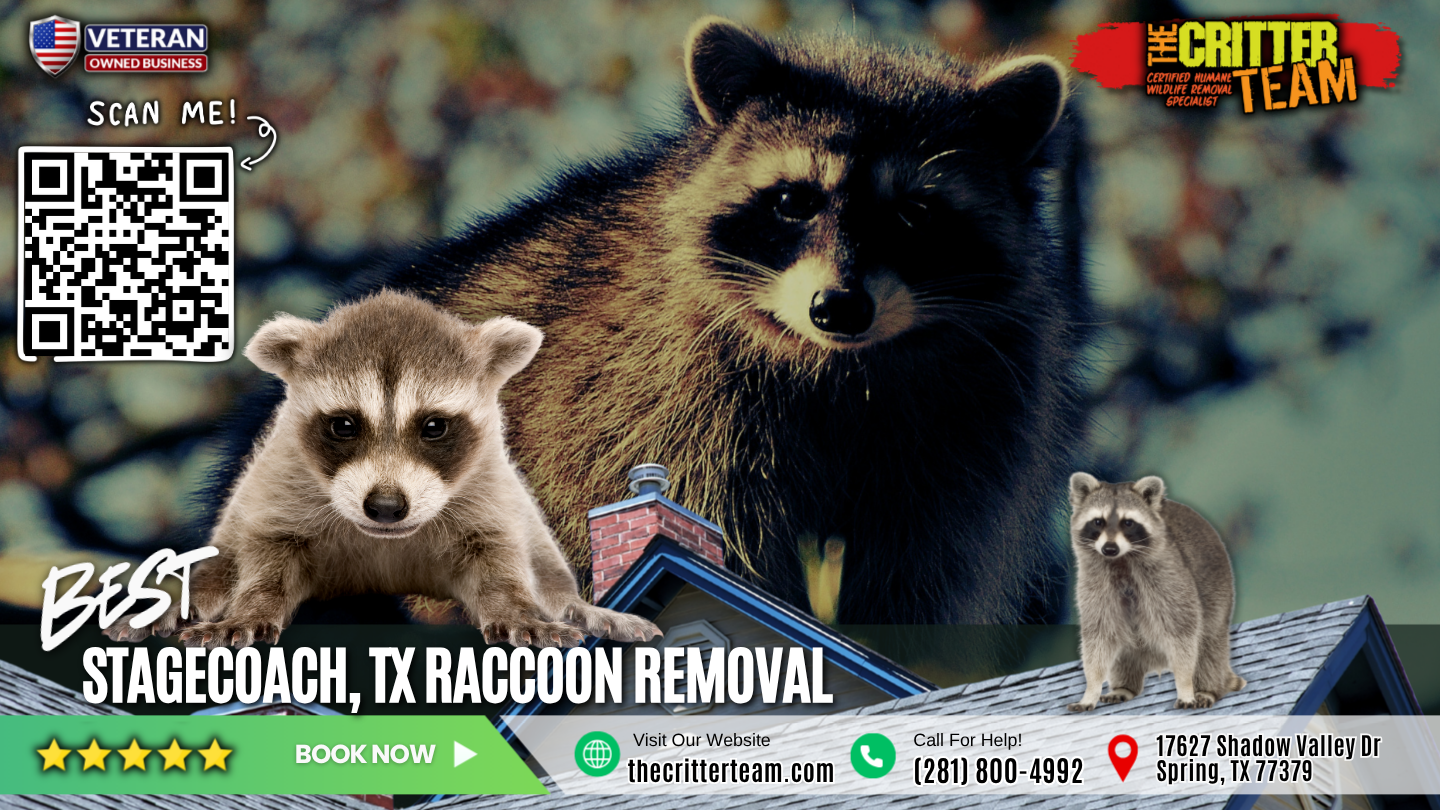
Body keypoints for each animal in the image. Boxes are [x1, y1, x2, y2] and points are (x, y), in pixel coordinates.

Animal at [107, 291, 661, 649]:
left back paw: (577, 605)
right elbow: (268, 560)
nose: (387, 506)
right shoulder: (283, 482)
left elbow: (497, 560)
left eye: (434, 425)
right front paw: (252, 608)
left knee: (545, 564)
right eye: (344, 425)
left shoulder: (487, 490)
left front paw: (517, 609)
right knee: (219, 563)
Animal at [215, 18, 1093, 624]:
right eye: (791, 201)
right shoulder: (662, 402)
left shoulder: (963, 445)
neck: (844, 366)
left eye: (915, 215)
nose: (838, 306)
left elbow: (915, 582)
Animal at [1066, 473, 1245, 711]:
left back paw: (1208, 688)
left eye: (1128, 522)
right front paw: (1091, 689)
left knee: (1210, 644)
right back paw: (1124, 687)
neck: (1121, 560)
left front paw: (1185, 685)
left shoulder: (1168, 574)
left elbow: (1182, 632)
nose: (1109, 549)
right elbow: (1099, 636)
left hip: (1219, 588)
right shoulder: (1094, 582)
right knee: (1124, 651)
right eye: (1098, 521)